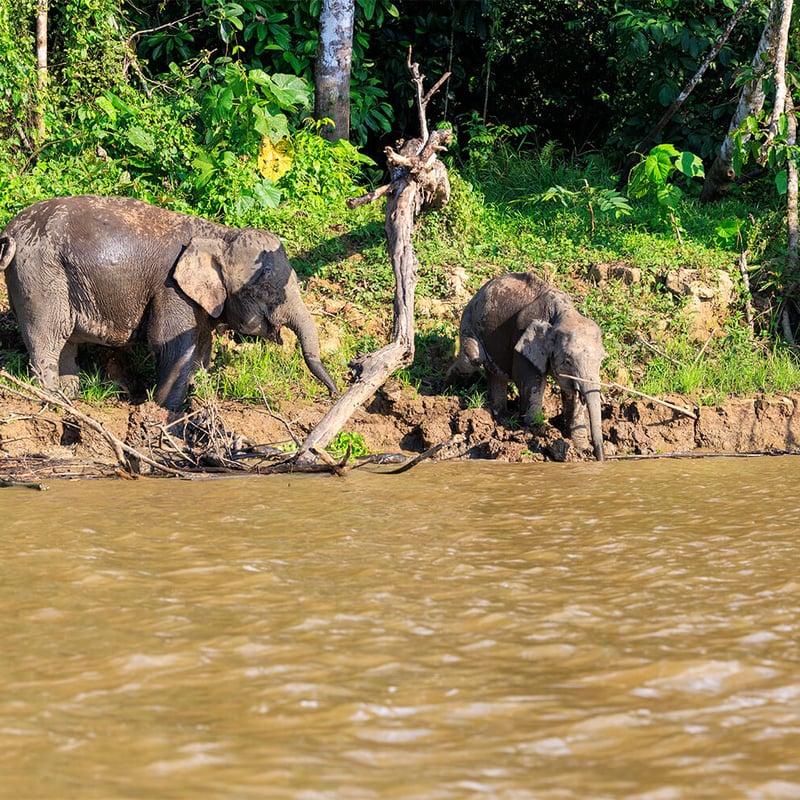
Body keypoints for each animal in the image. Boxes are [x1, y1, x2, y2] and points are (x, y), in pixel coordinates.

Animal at [0, 195, 338, 410]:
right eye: (265, 288)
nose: (334, 392)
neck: (219, 233)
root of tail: (10, 231)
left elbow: (201, 347)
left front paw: (199, 396)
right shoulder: (170, 287)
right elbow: (169, 344)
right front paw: (166, 409)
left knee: (66, 340)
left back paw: (73, 396)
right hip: (41, 275)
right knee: (49, 335)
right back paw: (55, 400)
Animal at [446, 271, 605, 460]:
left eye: (601, 360)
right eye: (568, 361)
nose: (599, 456)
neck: (563, 312)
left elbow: (570, 393)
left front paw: (580, 448)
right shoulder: (522, 342)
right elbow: (531, 383)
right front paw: (536, 429)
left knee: (496, 374)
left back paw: (500, 414)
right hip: (469, 319)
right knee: (471, 361)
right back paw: (445, 390)